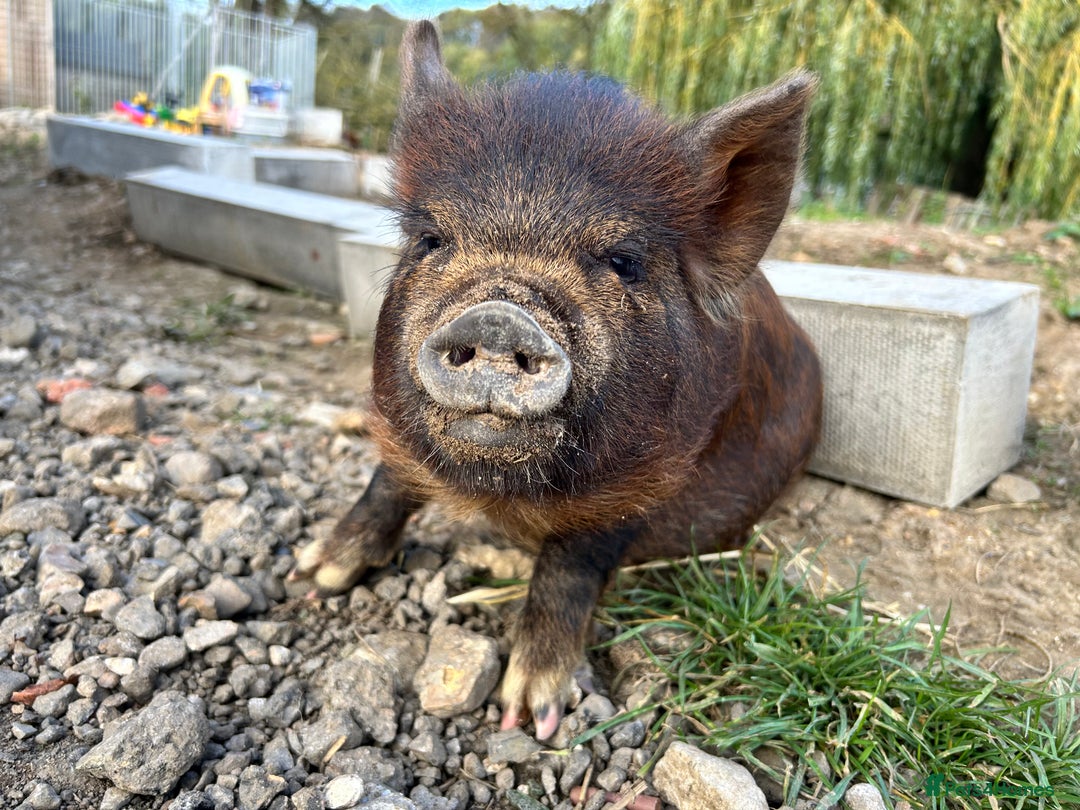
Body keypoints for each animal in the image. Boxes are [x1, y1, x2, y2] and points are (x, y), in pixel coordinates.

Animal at [292, 20, 822, 740]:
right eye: (430, 239)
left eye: (622, 261)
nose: (499, 315)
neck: (500, 499)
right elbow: (387, 481)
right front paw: (311, 577)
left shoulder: (646, 480)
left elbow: (571, 561)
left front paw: (531, 713)